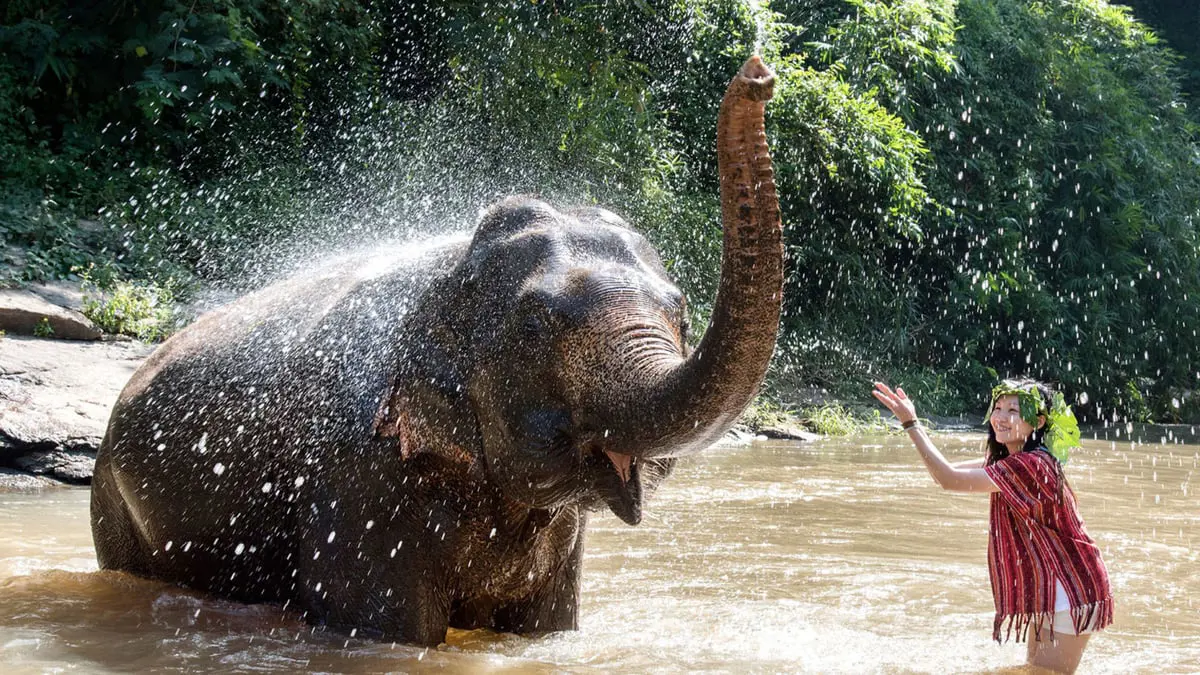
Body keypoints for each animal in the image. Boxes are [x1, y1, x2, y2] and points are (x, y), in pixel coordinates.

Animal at [93, 56, 787, 638]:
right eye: (534, 326)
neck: (447, 276)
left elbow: (547, 631)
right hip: (113, 503)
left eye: (681, 314)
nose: (758, 75)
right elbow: (389, 633)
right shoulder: (359, 483)